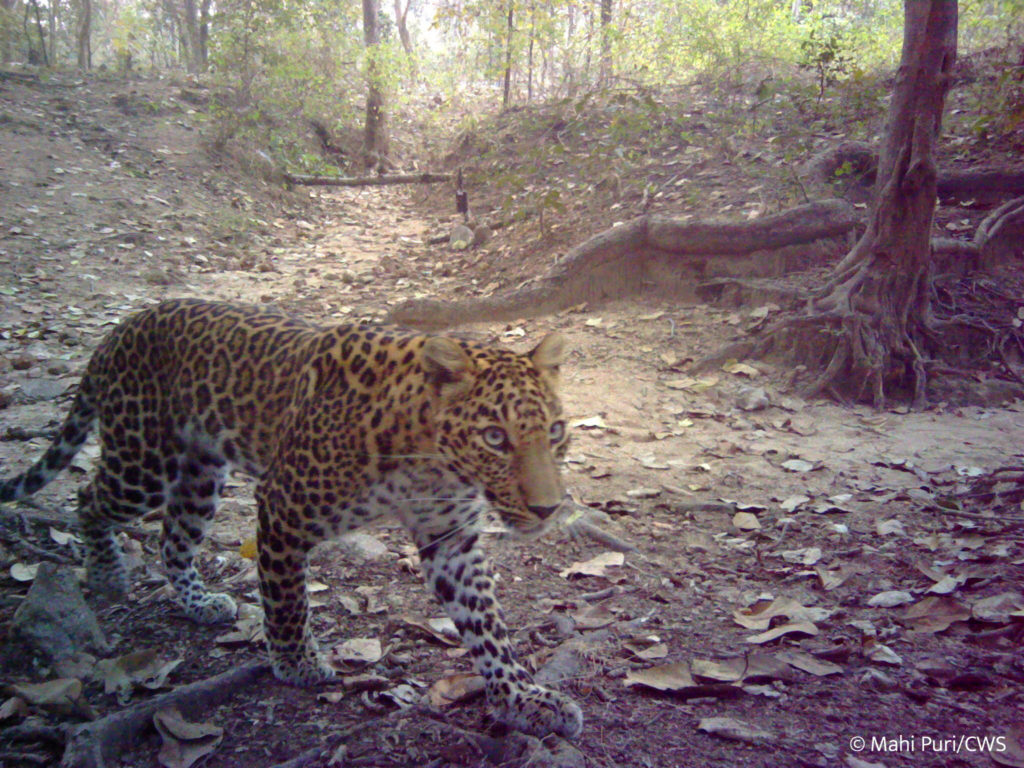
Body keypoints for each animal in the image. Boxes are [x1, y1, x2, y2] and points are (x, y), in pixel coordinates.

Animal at [0, 298, 583, 739]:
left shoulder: (451, 538)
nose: (548, 508)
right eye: (495, 438)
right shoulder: (282, 506)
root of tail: (122, 328)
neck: (430, 460)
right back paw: (106, 574)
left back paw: (198, 602)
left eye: (555, 431)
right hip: (143, 461)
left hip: (200, 476)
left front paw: (522, 696)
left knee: (173, 538)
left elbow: (488, 626)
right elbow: (286, 599)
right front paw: (297, 663)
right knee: (88, 497)